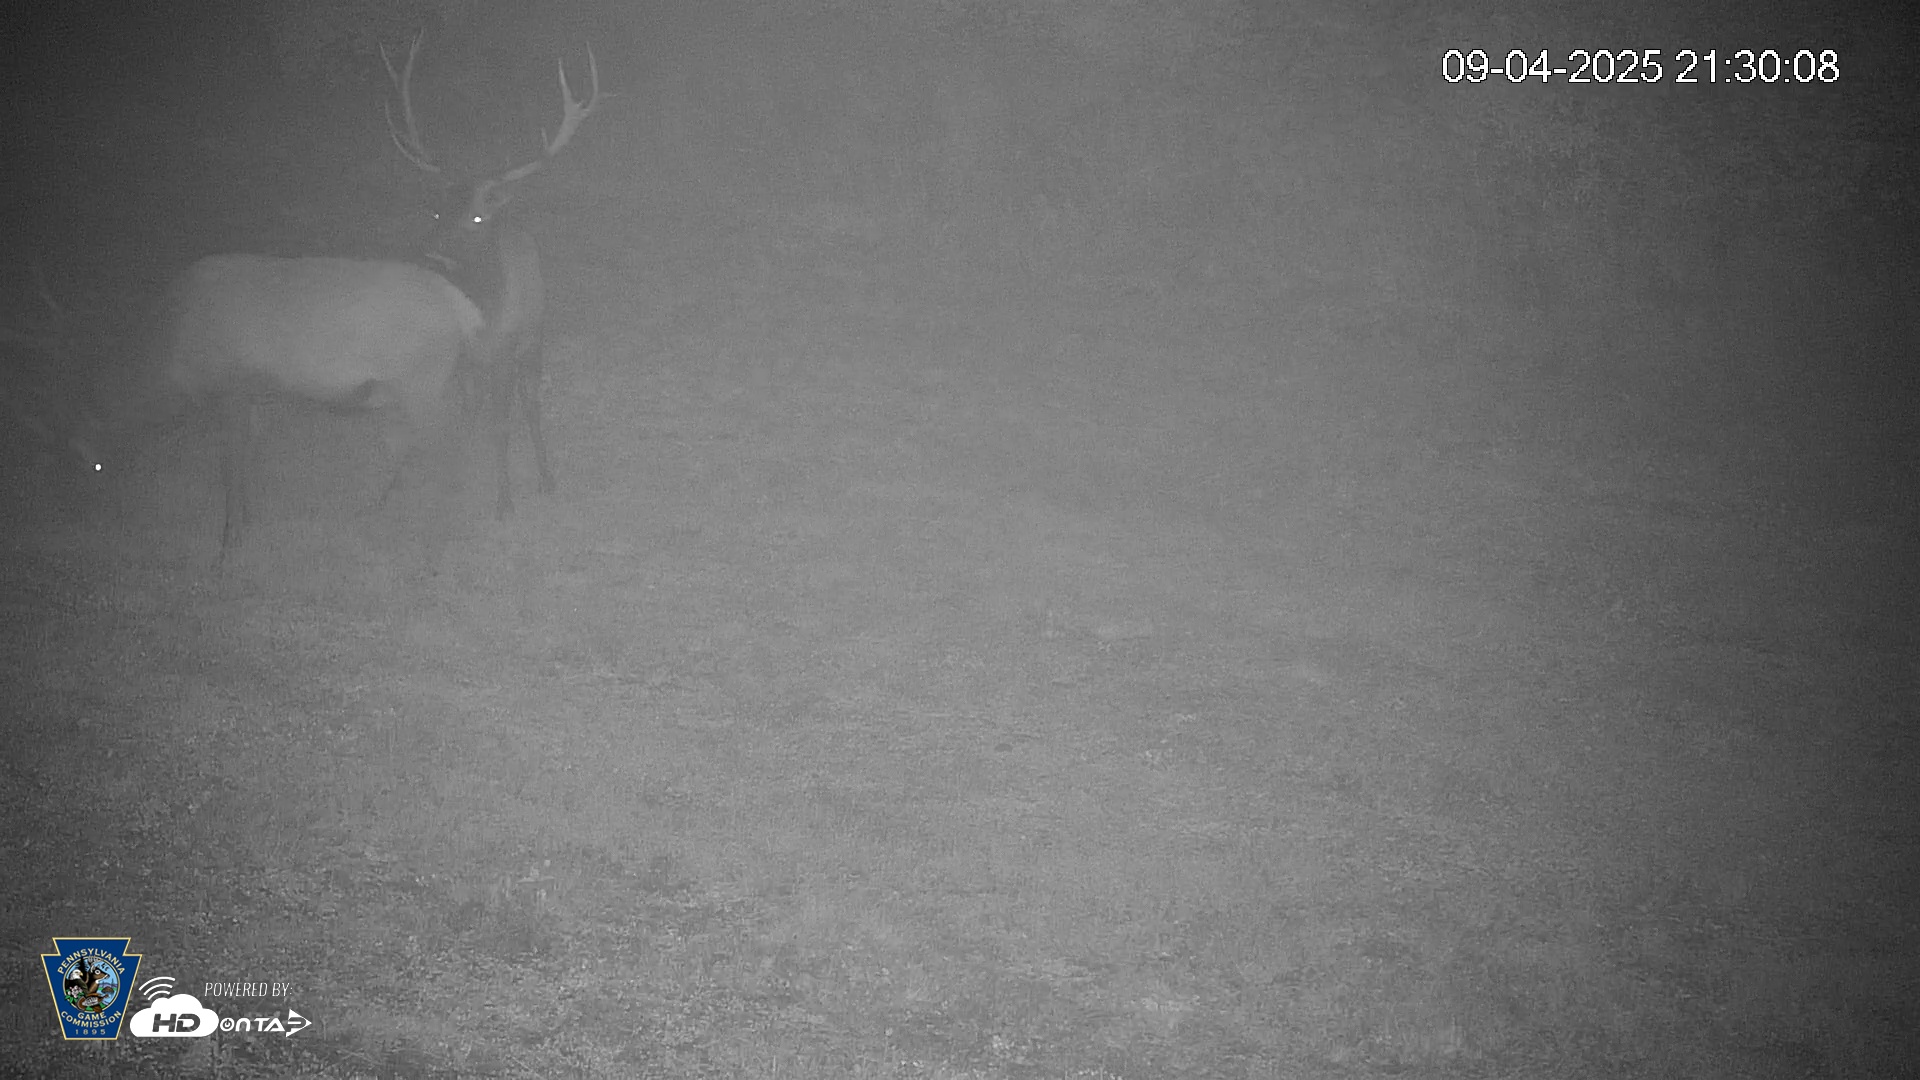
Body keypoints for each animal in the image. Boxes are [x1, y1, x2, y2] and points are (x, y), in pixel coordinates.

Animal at [382, 32, 602, 517]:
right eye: (438, 212)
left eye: (478, 218)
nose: (430, 253)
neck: (483, 318)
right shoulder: (461, 357)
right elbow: (466, 413)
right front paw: (454, 478)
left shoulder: (505, 351)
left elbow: (502, 423)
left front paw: (504, 500)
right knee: (477, 405)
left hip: (533, 337)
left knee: (528, 403)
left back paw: (545, 476)